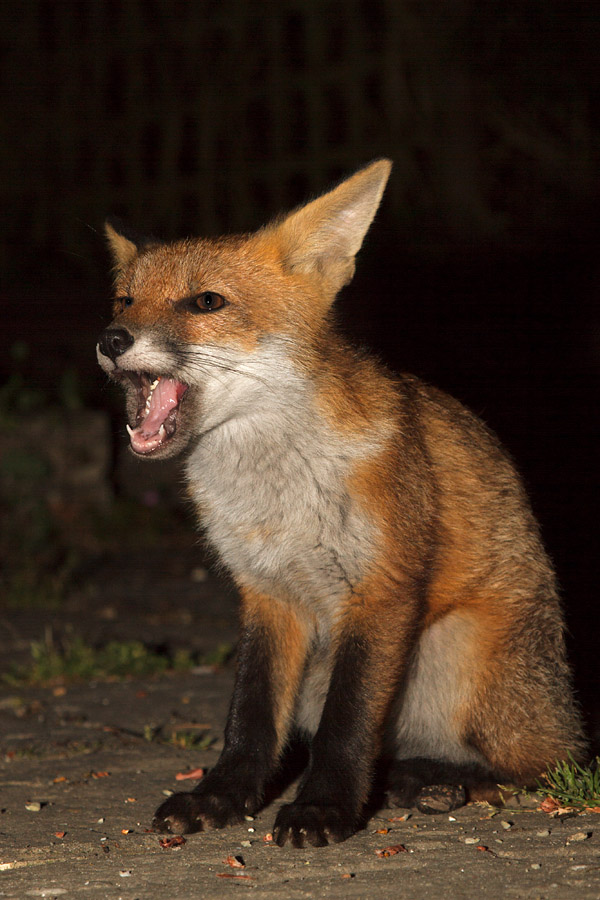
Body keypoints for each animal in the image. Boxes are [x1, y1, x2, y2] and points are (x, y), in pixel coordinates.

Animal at [97, 159, 586, 847]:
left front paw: (322, 808)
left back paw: (444, 782)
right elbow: (248, 719)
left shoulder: (380, 590)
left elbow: (346, 725)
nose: (112, 339)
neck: (277, 496)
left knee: (550, 765)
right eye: (124, 300)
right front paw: (221, 797)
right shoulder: (268, 595)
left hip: (461, 655)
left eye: (206, 301)